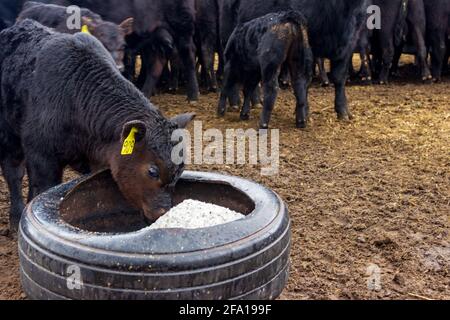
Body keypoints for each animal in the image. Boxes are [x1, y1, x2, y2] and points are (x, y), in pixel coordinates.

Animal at [0, 19, 194, 230]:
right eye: (152, 171)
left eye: (180, 171)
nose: (161, 213)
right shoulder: (41, 156)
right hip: (8, 136)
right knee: (13, 173)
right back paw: (16, 216)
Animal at [230, 0, 370, 122]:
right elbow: (304, 80)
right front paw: (304, 113)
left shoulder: (349, 43)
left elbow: (339, 78)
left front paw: (343, 112)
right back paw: (246, 102)